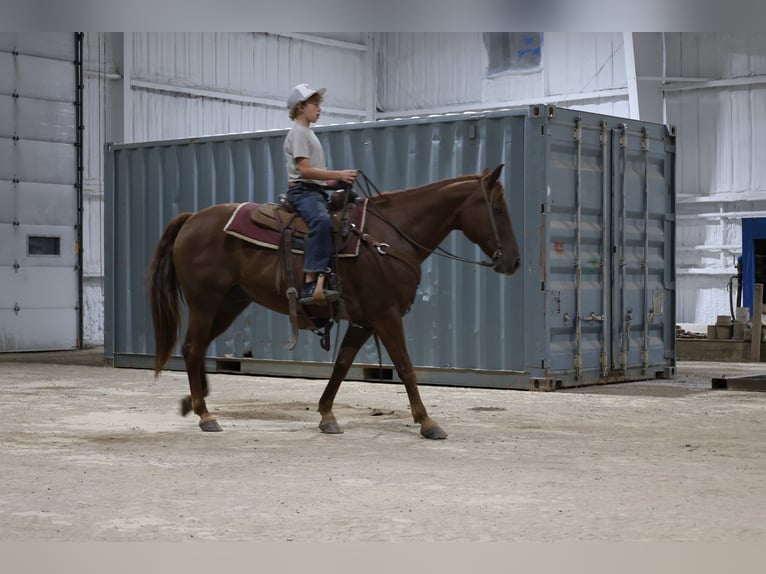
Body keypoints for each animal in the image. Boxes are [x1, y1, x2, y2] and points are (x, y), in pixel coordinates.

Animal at [146, 163, 521, 439]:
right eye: (498, 209)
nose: (514, 261)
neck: (388, 238)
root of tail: (191, 219)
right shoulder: (386, 315)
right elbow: (406, 367)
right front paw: (428, 422)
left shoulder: (363, 320)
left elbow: (341, 365)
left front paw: (327, 415)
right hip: (205, 303)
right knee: (193, 347)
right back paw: (205, 414)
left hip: (230, 303)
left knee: (197, 348)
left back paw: (195, 402)